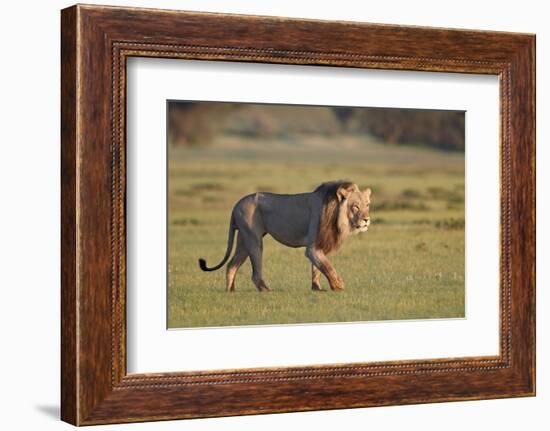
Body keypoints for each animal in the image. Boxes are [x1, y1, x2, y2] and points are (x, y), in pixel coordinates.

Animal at [196, 182, 374, 294]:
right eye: (355, 206)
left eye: (367, 205)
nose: (366, 220)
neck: (336, 215)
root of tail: (236, 205)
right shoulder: (312, 247)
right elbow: (327, 266)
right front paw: (338, 285)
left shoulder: (319, 245)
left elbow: (317, 268)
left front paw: (317, 288)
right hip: (253, 239)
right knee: (254, 272)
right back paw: (265, 290)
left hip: (243, 240)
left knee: (231, 265)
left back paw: (230, 291)